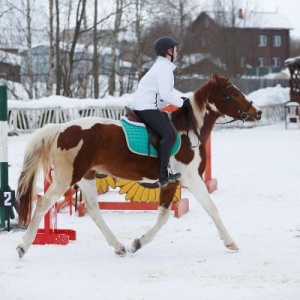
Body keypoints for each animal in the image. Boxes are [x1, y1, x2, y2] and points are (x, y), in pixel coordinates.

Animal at [16, 74, 262, 258]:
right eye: (234, 93)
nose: (257, 112)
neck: (189, 131)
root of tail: (61, 128)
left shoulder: (171, 183)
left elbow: (163, 215)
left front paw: (138, 243)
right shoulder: (192, 179)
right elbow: (211, 209)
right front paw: (230, 242)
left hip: (86, 177)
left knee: (94, 210)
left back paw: (118, 246)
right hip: (67, 177)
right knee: (44, 203)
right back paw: (23, 246)